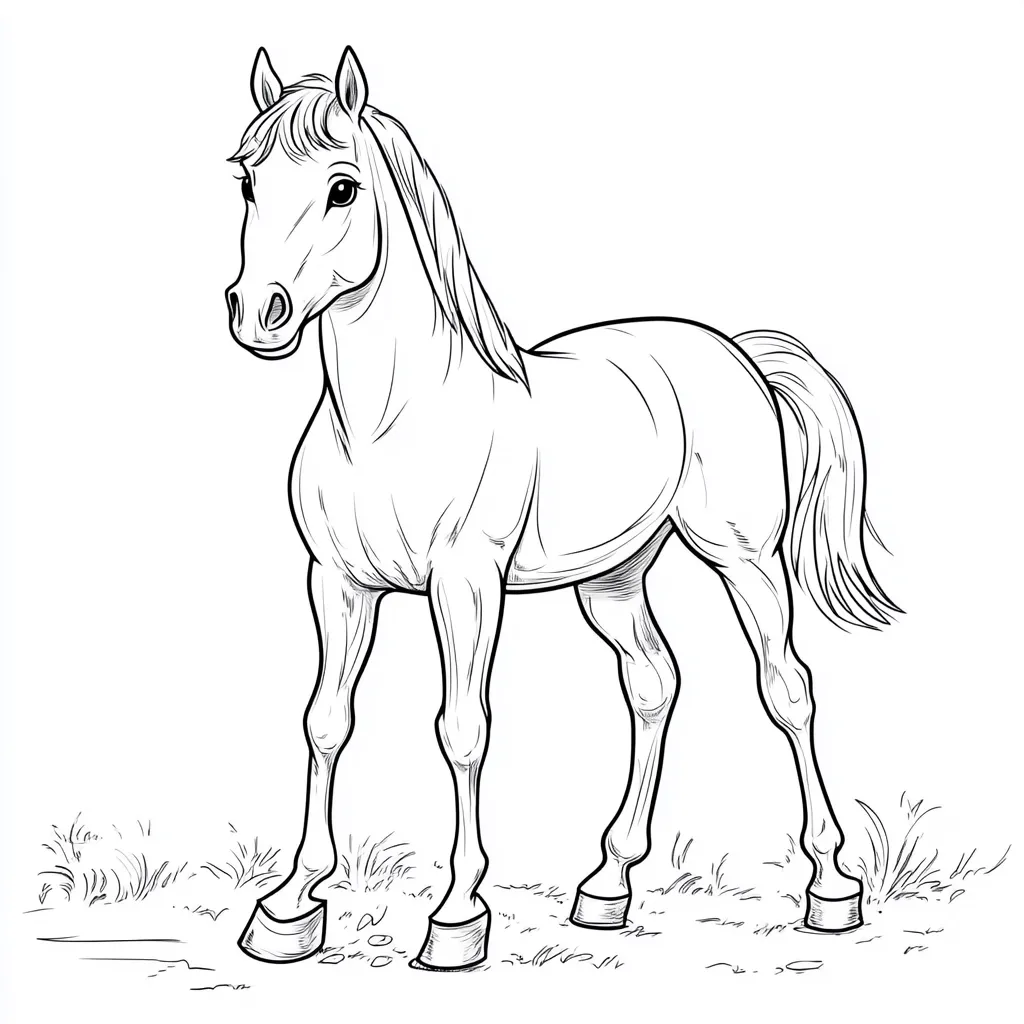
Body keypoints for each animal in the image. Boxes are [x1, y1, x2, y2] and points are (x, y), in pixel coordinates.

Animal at [225, 46, 899, 971]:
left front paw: (457, 917)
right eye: (247, 180)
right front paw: (290, 906)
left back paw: (830, 887)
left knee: (787, 687)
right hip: (613, 579)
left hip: (746, 561)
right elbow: (326, 721)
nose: (259, 314)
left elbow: (463, 729)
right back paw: (607, 886)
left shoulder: (465, 586)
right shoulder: (337, 583)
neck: (390, 420)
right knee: (653, 683)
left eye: (342, 187)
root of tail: (733, 350)